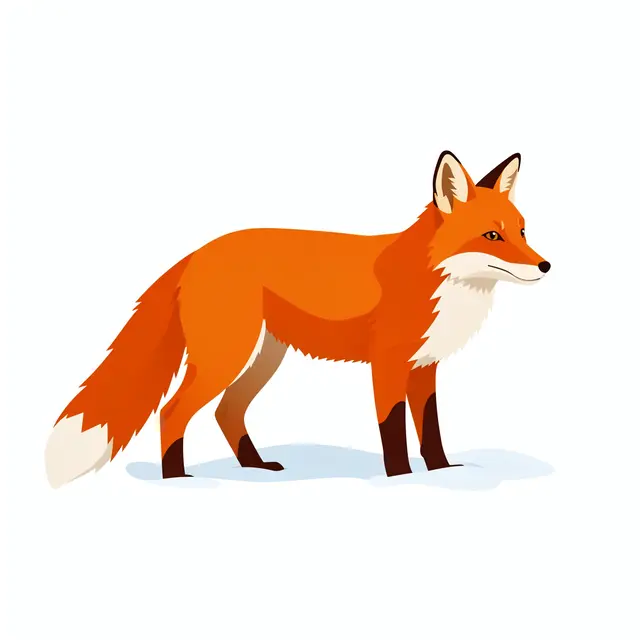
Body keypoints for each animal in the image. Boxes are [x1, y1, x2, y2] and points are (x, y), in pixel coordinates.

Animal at [44, 150, 550, 487]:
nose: (546, 266)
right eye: (491, 236)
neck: (438, 279)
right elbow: (393, 430)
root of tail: (197, 253)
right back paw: (178, 480)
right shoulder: (387, 364)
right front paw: (401, 478)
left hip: (264, 358)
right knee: (173, 412)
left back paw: (255, 467)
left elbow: (432, 431)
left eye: (523, 231)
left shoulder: (425, 367)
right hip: (226, 358)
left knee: (227, 412)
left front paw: (443, 472)